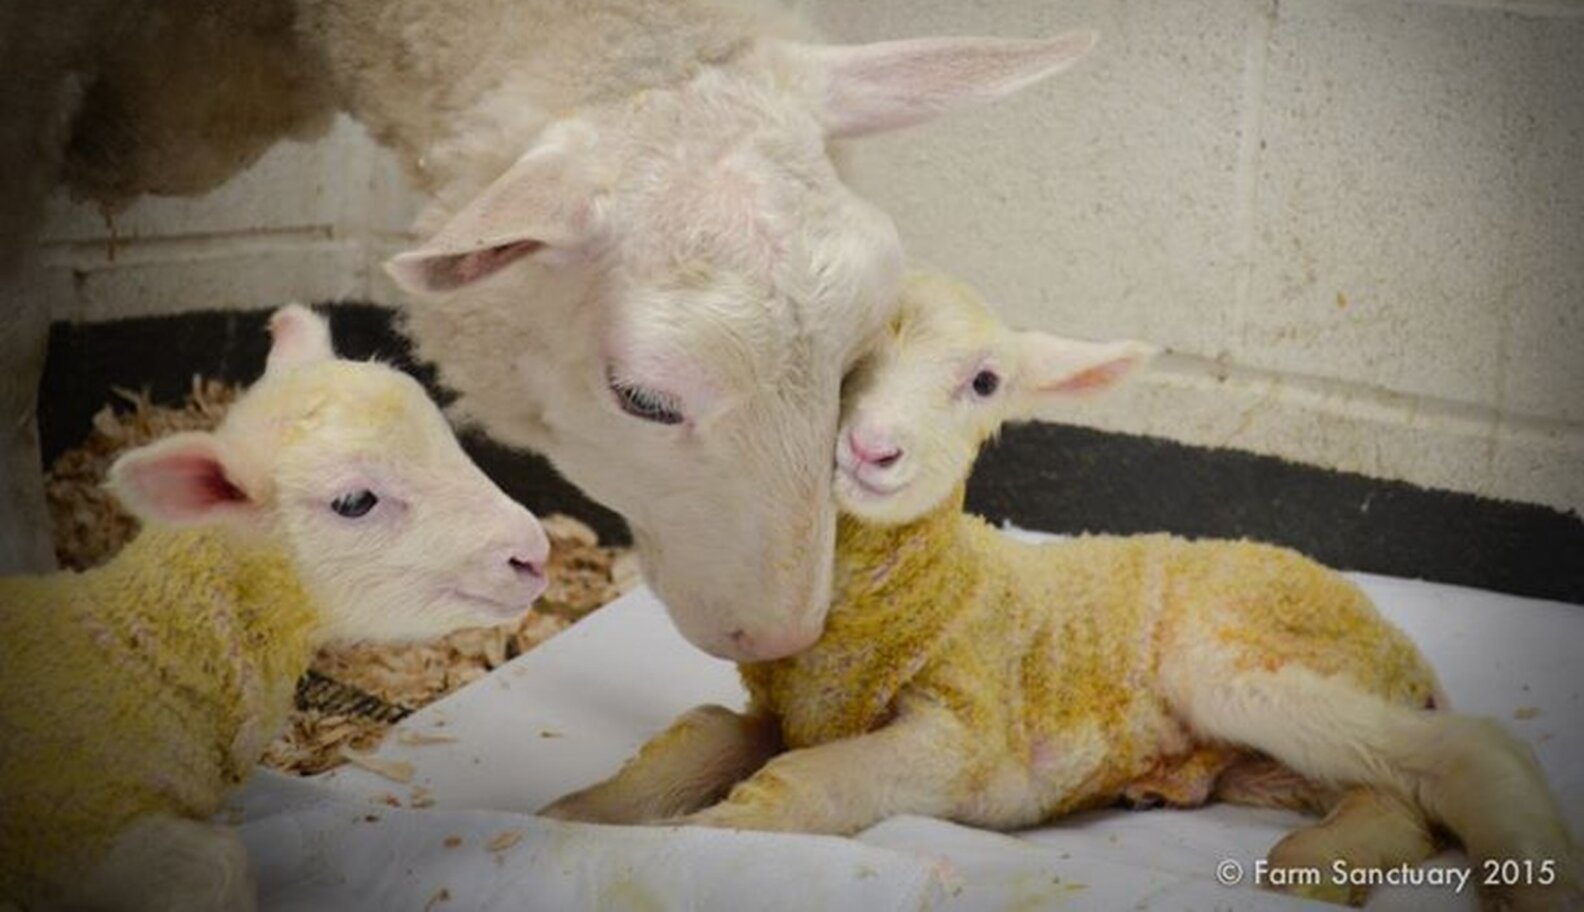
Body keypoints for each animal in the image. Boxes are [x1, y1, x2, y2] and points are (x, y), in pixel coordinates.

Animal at [544, 273, 1581, 911]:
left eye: (985, 381)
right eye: (844, 362)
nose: (871, 450)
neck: (945, 583)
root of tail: (1396, 637)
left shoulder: (968, 735)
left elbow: (814, 782)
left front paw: (715, 835)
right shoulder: (781, 709)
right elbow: (694, 741)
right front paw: (573, 816)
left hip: (1242, 655)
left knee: (1461, 753)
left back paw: (1511, 882)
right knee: (1392, 790)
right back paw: (1313, 858)